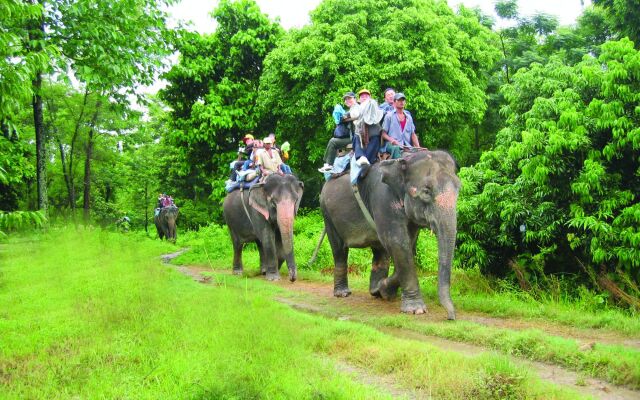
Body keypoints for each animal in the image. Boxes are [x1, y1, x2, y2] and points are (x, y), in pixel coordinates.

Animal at [320, 150, 460, 318]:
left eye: (459, 189)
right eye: (426, 191)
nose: (451, 317)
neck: (405, 161)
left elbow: (409, 245)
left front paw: (383, 290)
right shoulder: (382, 198)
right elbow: (398, 243)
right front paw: (415, 310)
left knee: (380, 251)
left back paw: (374, 291)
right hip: (327, 213)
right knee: (339, 250)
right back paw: (343, 293)